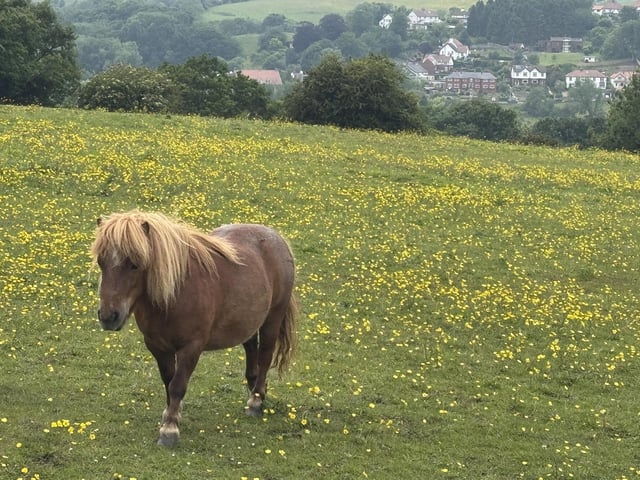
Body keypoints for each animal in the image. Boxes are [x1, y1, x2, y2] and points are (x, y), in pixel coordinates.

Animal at [90, 210, 298, 447]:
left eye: (134, 264)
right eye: (101, 262)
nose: (109, 317)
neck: (176, 293)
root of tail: (277, 238)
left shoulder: (191, 347)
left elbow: (178, 385)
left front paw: (169, 430)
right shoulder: (157, 346)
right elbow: (168, 381)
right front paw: (172, 415)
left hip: (273, 318)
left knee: (264, 356)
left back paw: (255, 402)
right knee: (252, 350)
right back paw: (254, 391)